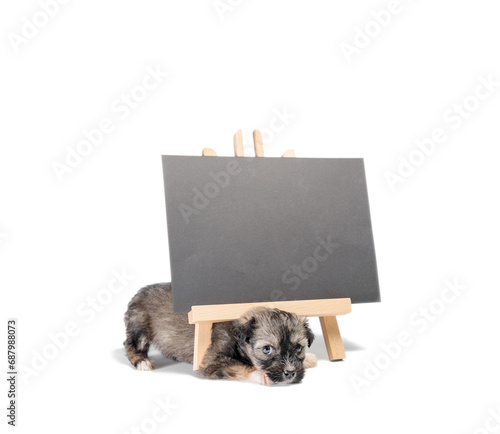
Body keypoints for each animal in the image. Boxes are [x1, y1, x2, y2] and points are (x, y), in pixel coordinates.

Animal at [124, 284, 316, 384]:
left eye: (299, 348)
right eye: (267, 349)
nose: (290, 373)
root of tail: (137, 293)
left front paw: (309, 358)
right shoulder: (213, 362)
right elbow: (239, 366)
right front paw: (260, 374)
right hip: (140, 326)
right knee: (131, 344)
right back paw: (142, 361)